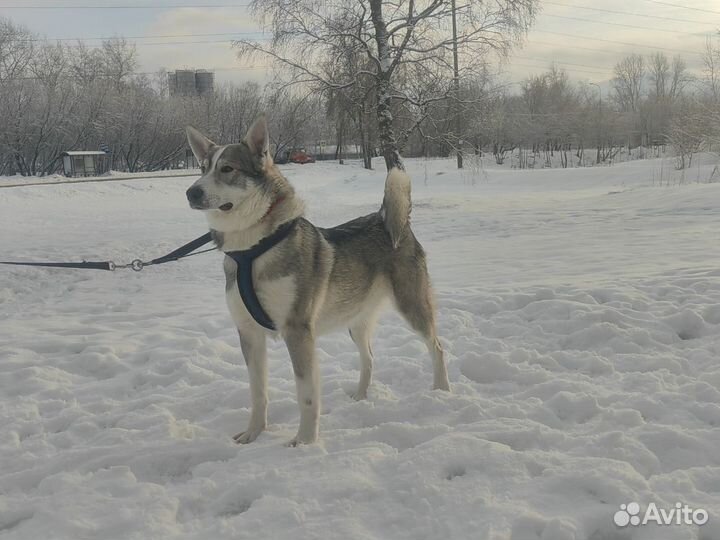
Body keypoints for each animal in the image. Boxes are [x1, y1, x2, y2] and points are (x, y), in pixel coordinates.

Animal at [184, 116, 450, 446]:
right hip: (356, 323)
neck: (253, 249)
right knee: (369, 358)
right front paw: (253, 434)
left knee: (437, 347)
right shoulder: (248, 333)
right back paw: (360, 397)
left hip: (412, 307)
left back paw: (442, 392)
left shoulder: (297, 331)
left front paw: (305, 442)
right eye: (202, 168)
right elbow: (258, 392)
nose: (191, 193)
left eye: (227, 169)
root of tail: (387, 221)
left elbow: (307, 396)